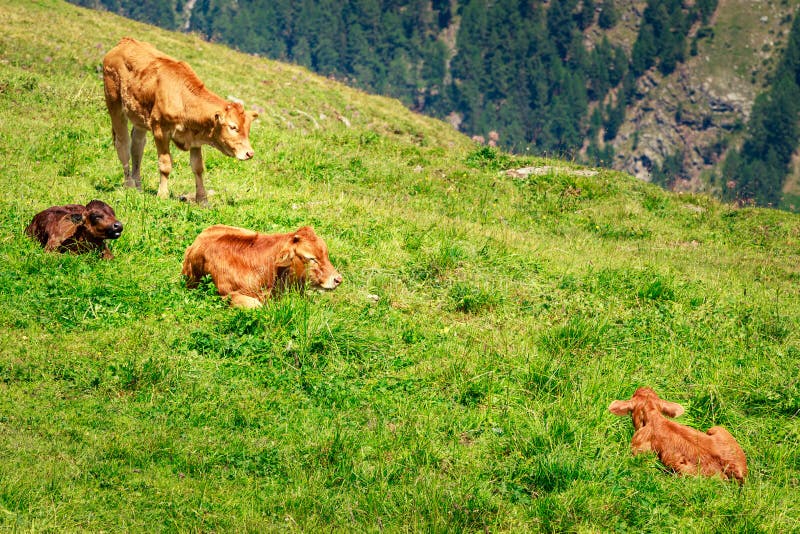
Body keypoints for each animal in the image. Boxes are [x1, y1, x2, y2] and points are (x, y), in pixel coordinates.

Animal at [100, 37, 256, 205]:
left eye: (248, 129)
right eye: (233, 127)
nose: (249, 153)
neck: (182, 98)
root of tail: (126, 41)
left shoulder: (195, 139)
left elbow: (198, 168)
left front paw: (203, 200)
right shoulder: (160, 131)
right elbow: (165, 165)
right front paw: (162, 195)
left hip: (139, 118)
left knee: (137, 147)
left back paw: (138, 188)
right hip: (114, 103)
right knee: (123, 144)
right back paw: (129, 185)